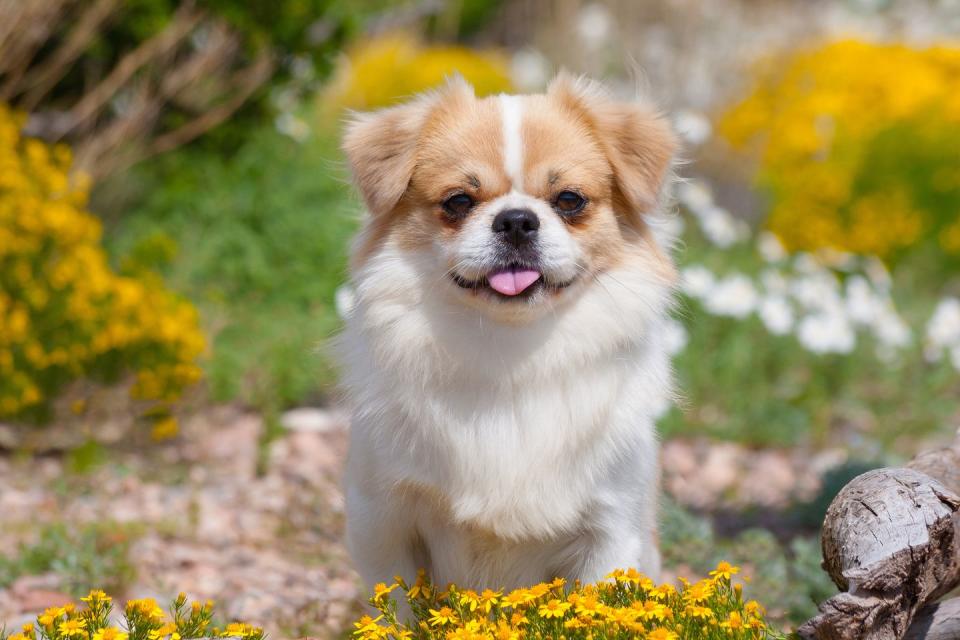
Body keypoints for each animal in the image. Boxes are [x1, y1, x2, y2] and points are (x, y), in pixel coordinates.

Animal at [342, 72, 680, 592]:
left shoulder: (611, 529)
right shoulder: (382, 523)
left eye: (569, 201)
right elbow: (396, 604)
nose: (517, 219)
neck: (510, 354)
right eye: (459, 202)